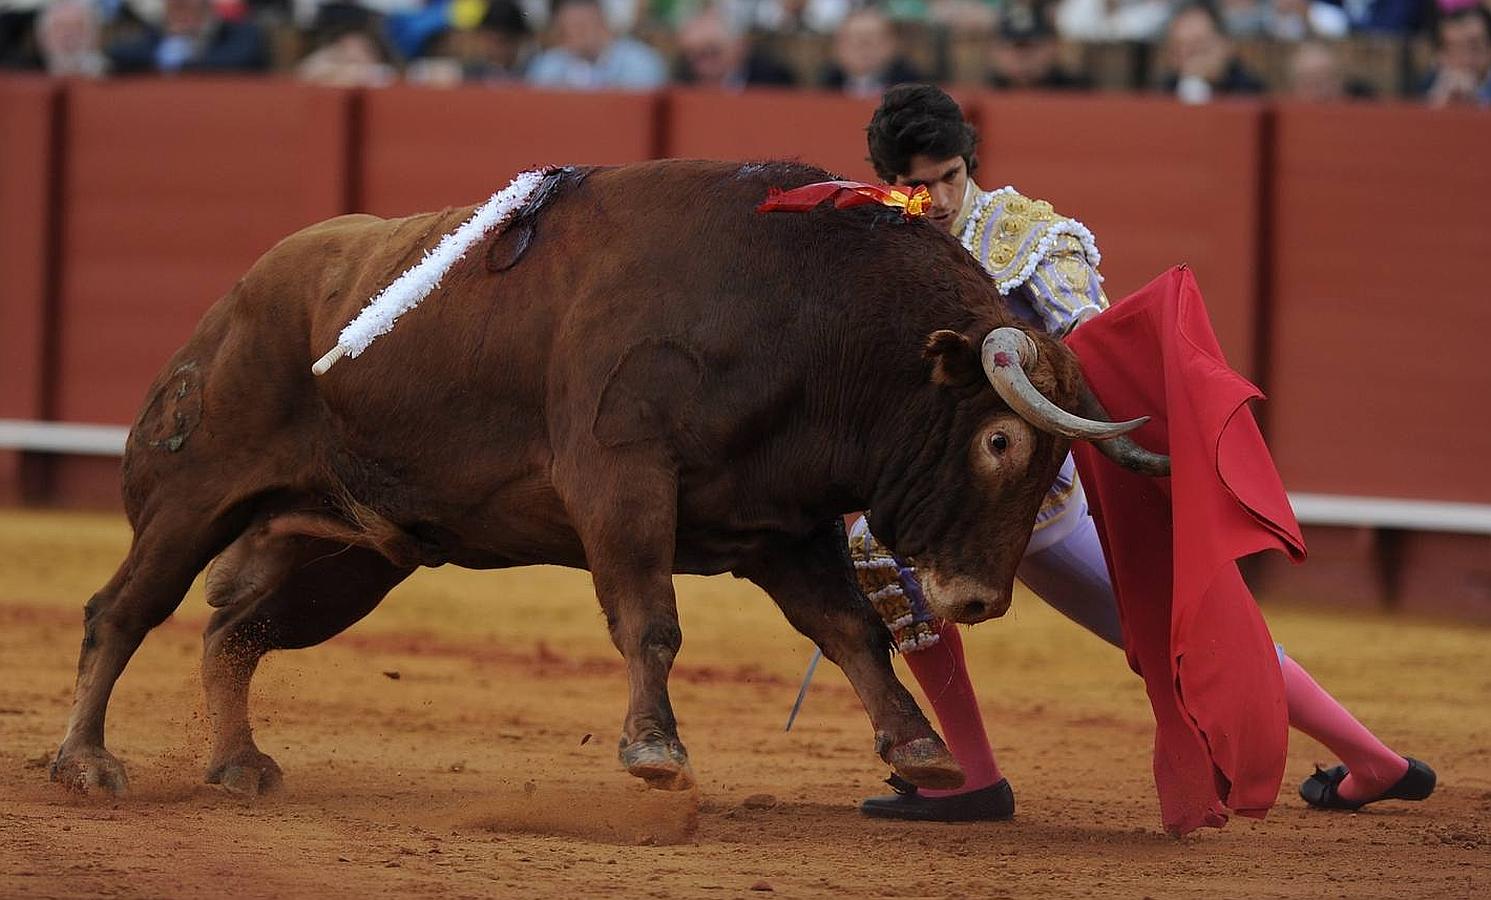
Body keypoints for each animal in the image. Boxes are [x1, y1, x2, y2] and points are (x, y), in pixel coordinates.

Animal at [49, 157, 1162, 798]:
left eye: (1052, 454)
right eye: (999, 442)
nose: (977, 599)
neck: (804, 314)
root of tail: (233, 299)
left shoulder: (782, 521)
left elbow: (850, 631)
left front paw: (919, 750)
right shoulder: (620, 482)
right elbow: (650, 621)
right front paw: (655, 752)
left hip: (346, 551)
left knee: (234, 634)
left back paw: (237, 766)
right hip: (196, 499)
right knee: (121, 610)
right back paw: (87, 763)